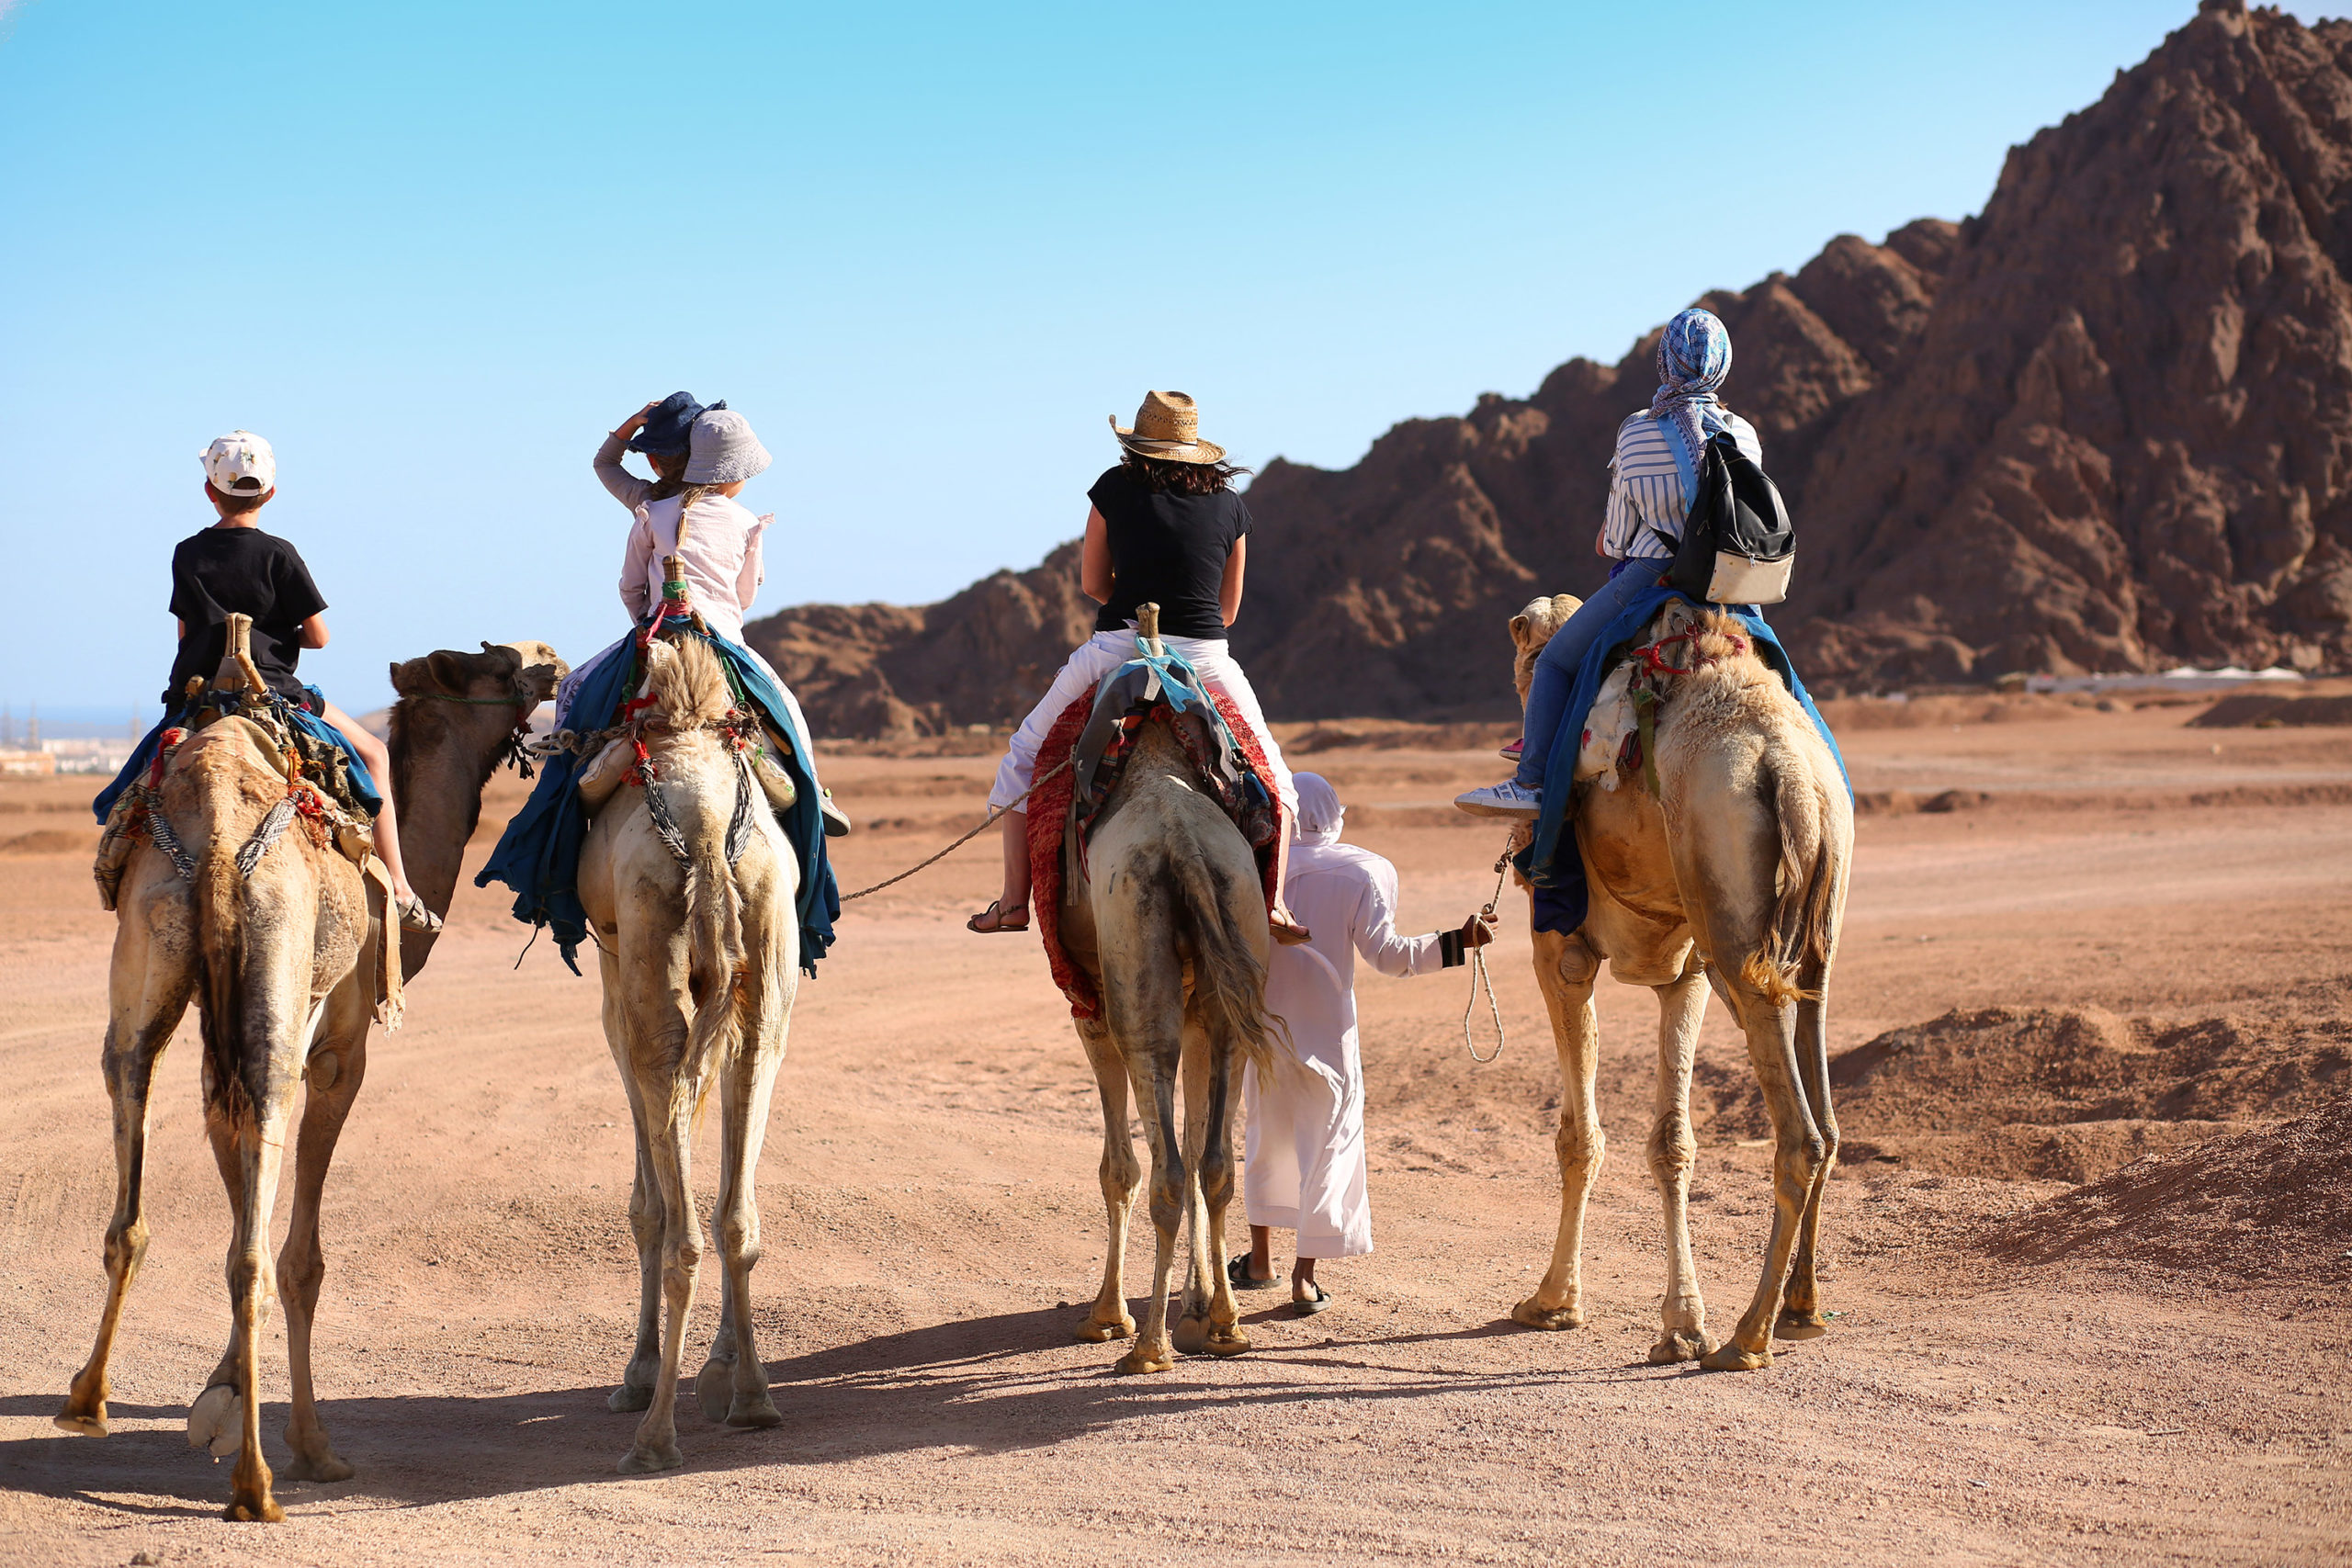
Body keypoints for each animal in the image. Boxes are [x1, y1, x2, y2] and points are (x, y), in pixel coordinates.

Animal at [52, 634, 566, 1523]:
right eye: (499, 663)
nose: (555, 658)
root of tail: (218, 836)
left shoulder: (216, 1061)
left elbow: (235, 1225)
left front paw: (220, 1395)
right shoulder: (338, 1054)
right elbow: (297, 1256)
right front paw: (302, 1442)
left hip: (151, 967)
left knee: (131, 1129)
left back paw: (87, 1401)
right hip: (279, 995)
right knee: (268, 1252)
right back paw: (258, 1481)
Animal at [573, 629, 804, 1476]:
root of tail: (705, 827)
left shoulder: (614, 995)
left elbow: (645, 1204)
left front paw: (637, 1374)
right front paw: (720, 1370)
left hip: (648, 967)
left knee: (681, 1229)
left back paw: (654, 1432)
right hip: (765, 962)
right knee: (736, 1216)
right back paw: (754, 1396)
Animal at [1058, 611, 1279, 1372]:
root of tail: (1180, 835)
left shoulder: (1092, 1009)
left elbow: (1117, 1167)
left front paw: (1106, 1314)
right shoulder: (1200, 1011)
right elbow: (1194, 1132)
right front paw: (1200, 1303)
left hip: (1134, 987)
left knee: (1164, 1172)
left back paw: (1146, 1345)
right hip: (1232, 956)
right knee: (1212, 1165)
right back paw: (1224, 1325)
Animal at [1505, 597, 1853, 1372]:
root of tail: (1788, 771)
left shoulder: (1561, 953)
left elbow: (1580, 1136)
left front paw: (1552, 1301)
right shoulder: (1686, 974)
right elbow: (1672, 1141)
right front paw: (1680, 1323)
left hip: (1730, 911)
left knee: (1801, 1136)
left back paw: (1747, 1335)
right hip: (1809, 933)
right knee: (1826, 1118)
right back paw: (1800, 1308)